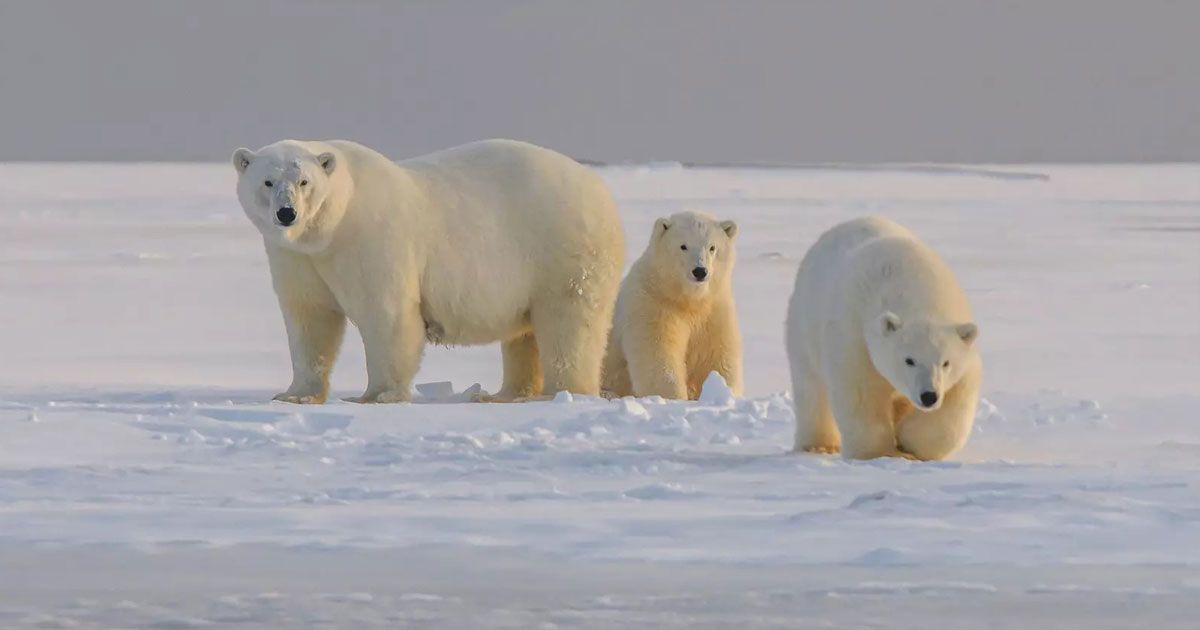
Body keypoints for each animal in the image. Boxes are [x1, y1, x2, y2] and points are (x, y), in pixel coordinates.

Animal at [235, 137, 628, 403]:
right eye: (267, 181)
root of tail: (599, 189)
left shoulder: (373, 239)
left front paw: (377, 395)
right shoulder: (297, 258)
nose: (286, 213)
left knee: (569, 324)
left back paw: (562, 392)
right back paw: (504, 394)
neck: (332, 228)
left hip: (561, 251)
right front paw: (295, 394)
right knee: (524, 333)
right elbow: (309, 317)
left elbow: (387, 315)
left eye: (304, 182)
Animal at [600, 210, 739, 398]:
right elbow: (658, 356)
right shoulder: (652, 305)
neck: (686, 299)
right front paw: (674, 397)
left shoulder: (714, 310)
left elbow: (717, 357)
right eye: (683, 246)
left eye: (712, 247)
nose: (700, 271)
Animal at [787, 218, 984, 458]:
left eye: (946, 362)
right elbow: (861, 393)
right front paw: (880, 452)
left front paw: (908, 442)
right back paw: (818, 445)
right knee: (811, 388)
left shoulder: (964, 356)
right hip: (804, 326)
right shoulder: (855, 335)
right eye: (909, 360)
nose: (929, 396)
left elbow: (956, 405)